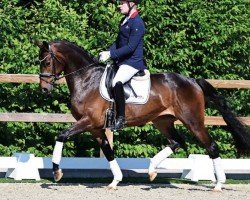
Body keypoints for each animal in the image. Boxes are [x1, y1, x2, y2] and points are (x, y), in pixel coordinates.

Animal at [36, 39, 249, 191]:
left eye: (47, 61)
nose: (44, 89)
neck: (87, 79)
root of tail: (192, 81)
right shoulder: (95, 127)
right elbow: (108, 151)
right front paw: (115, 181)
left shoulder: (88, 121)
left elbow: (61, 135)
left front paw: (56, 172)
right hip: (162, 121)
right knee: (177, 142)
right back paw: (152, 170)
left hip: (193, 121)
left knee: (211, 146)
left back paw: (219, 184)